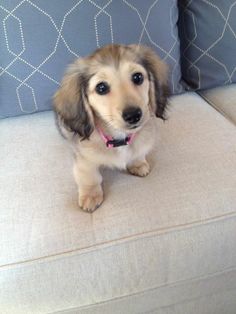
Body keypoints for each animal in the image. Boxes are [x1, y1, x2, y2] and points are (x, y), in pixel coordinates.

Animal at [53, 44, 170, 212]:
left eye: (138, 77)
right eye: (101, 87)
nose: (133, 115)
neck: (119, 138)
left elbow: (139, 152)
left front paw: (138, 163)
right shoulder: (83, 158)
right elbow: (89, 176)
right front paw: (90, 195)